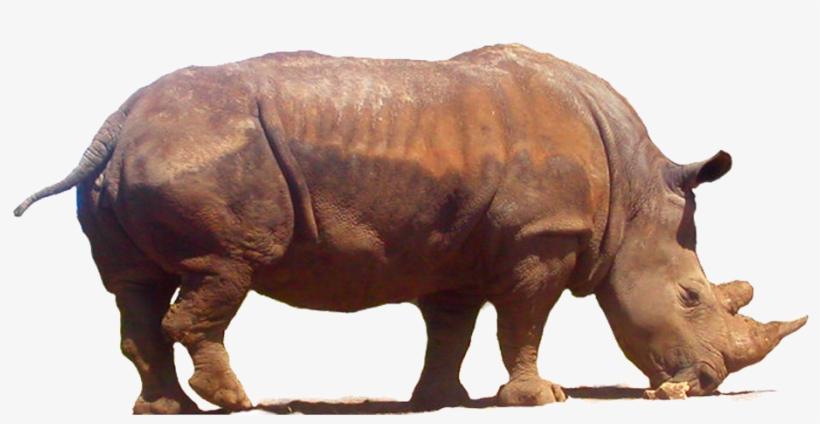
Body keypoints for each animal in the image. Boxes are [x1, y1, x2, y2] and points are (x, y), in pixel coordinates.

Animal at [14, 44, 807, 414]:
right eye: (692, 299)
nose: (706, 383)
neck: (634, 195)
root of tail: (115, 125)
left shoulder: (454, 250)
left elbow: (452, 328)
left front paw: (441, 401)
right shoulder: (542, 238)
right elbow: (524, 319)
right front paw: (540, 398)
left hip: (147, 159)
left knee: (137, 287)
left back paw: (166, 409)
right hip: (204, 155)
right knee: (223, 269)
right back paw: (238, 403)